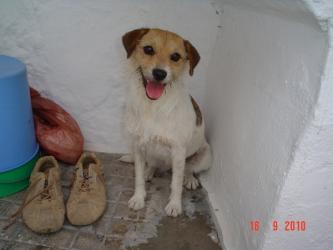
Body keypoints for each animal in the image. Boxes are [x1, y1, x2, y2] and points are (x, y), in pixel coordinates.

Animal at [120, 27, 211, 217]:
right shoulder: (138, 146)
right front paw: (138, 198)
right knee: (153, 165)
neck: (154, 106)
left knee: (189, 169)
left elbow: (175, 184)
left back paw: (189, 179)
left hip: (205, 156)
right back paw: (149, 172)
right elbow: (138, 178)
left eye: (175, 56)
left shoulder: (178, 151)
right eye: (148, 49)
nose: (159, 74)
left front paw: (175, 205)